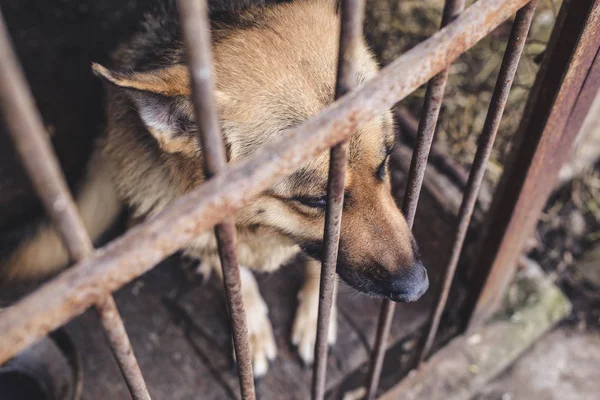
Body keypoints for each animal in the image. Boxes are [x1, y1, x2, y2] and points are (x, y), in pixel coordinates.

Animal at [2, 0, 428, 378]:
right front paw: (251, 329)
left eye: (385, 162)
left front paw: (317, 317)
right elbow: (239, 274)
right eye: (315, 199)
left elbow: (317, 263)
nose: (418, 287)